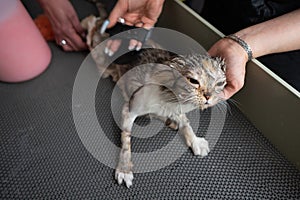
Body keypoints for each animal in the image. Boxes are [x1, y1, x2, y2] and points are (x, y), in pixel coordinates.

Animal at [81, 14, 226, 188]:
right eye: (193, 81)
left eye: (220, 83)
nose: (208, 96)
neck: (172, 99)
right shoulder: (130, 109)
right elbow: (126, 140)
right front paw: (124, 168)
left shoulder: (176, 108)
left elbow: (186, 122)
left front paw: (195, 140)